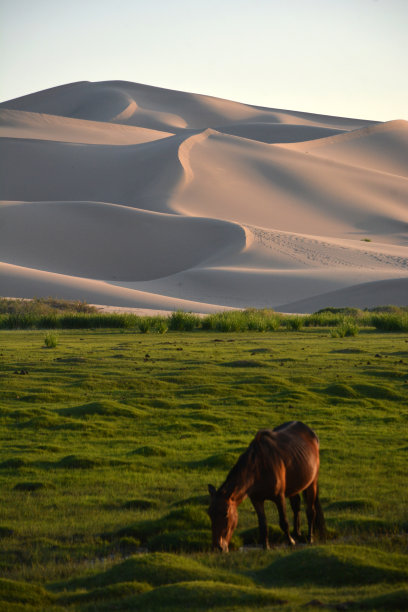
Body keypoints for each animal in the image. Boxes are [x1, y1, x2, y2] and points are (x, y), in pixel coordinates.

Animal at [207, 424, 326, 552]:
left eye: (225, 513)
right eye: (209, 513)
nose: (217, 547)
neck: (258, 468)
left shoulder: (279, 497)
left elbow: (283, 522)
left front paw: (291, 542)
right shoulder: (256, 500)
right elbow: (263, 524)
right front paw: (266, 546)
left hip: (312, 483)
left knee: (311, 511)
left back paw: (310, 538)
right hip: (294, 486)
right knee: (296, 506)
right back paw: (297, 533)